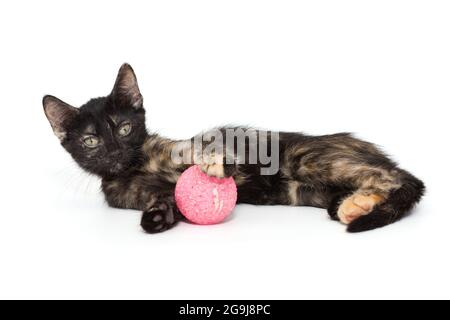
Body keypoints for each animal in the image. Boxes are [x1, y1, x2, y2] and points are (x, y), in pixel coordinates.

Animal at [43, 65, 426, 234]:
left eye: (124, 128)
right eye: (91, 141)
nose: (114, 152)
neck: (138, 166)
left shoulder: (192, 146)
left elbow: (201, 150)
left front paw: (213, 165)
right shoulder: (129, 194)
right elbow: (163, 200)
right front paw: (159, 217)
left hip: (310, 159)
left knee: (398, 177)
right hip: (304, 190)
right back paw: (354, 206)